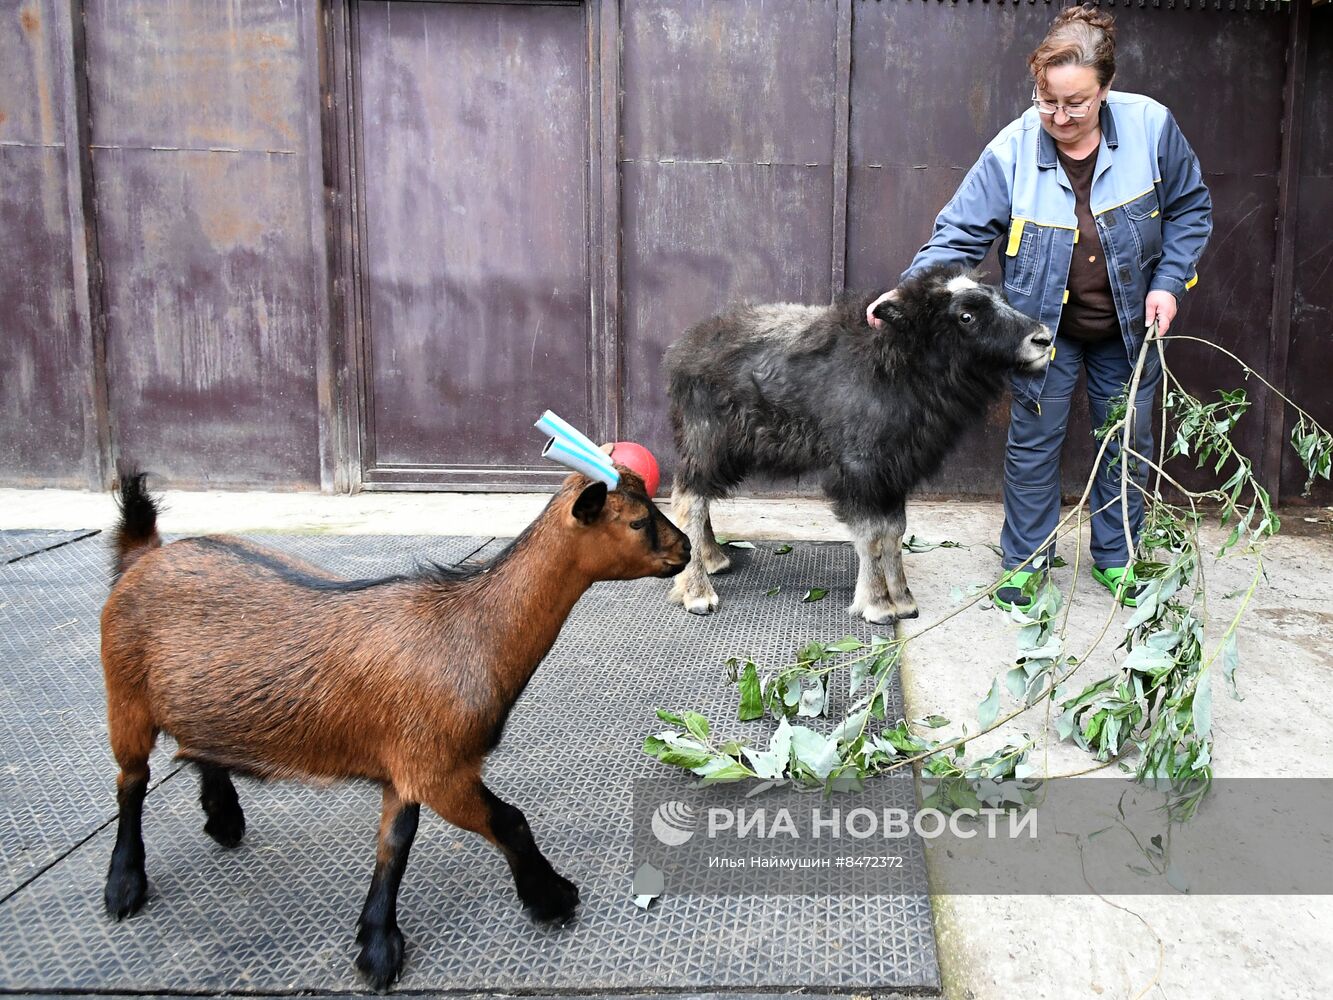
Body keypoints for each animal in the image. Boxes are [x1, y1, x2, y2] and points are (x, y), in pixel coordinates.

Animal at [98, 469, 693, 997]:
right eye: (638, 521)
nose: (686, 550)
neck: (469, 629)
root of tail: (143, 556)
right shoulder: (440, 767)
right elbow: (509, 821)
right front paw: (552, 898)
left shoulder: (406, 762)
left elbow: (395, 842)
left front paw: (377, 943)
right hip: (124, 696)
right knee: (131, 781)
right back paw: (124, 884)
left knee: (197, 747)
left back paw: (223, 818)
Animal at [666, 266, 1050, 626]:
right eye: (966, 315)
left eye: (1001, 298)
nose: (1043, 339)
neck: (902, 362)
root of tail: (684, 348)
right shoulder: (861, 471)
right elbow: (872, 536)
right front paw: (878, 605)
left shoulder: (895, 473)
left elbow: (895, 533)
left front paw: (904, 601)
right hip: (708, 443)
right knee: (690, 502)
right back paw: (698, 593)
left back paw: (714, 559)